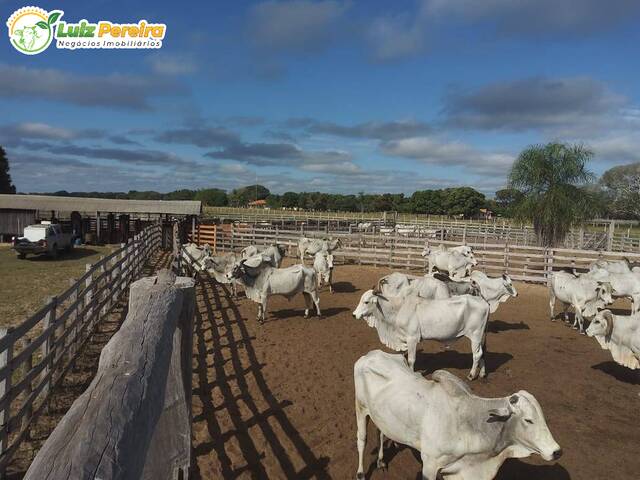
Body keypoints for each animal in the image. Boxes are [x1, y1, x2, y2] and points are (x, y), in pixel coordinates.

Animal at [352, 288, 488, 378]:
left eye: (366, 302)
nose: (354, 315)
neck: (399, 308)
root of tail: (484, 302)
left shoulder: (412, 338)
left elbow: (411, 359)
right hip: (479, 337)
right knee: (482, 353)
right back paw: (482, 374)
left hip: (475, 335)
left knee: (477, 354)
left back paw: (471, 375)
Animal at [352, 348, 564, 480]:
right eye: (528, 420)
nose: (556, 451)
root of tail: (370, 355)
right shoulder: (429, 464)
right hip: (361, 409)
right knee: (362, 439)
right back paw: (361, 473)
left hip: (380, 415)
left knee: (380, 432)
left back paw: (381, 461)